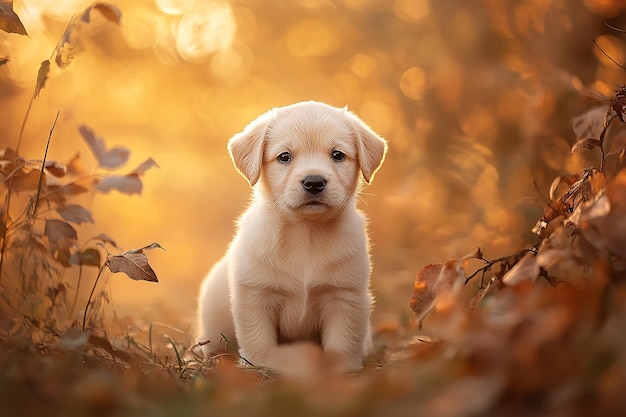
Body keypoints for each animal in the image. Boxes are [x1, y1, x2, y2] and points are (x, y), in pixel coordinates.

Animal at [197, 100, 386, 370]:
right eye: (284, 156)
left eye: (338, 155)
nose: (314, 182)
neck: (306, 233)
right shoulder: (256, 295)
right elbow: (258, 341)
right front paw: (261, 366)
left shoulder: (344, 297)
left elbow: (342, 343)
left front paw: (340, 369)